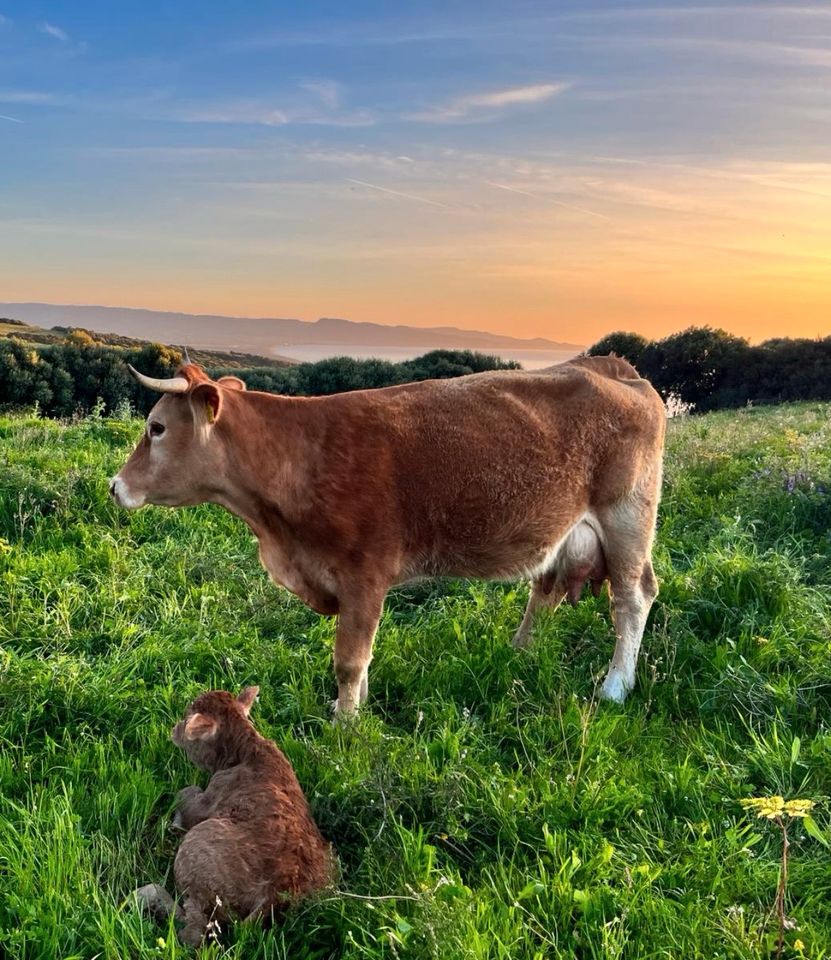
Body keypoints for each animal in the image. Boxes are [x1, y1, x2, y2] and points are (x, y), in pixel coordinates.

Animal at [110, 358, 668, 712]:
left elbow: (349, 660)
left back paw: (616, 687)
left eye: (156, 427)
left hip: (626, 517)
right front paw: (354, 710)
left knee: (633, 597)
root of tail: (614, 367)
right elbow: (363, 658)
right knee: (545, 590)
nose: (115, 486)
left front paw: (346, 726)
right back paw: (520, 653)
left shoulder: (364, 574)